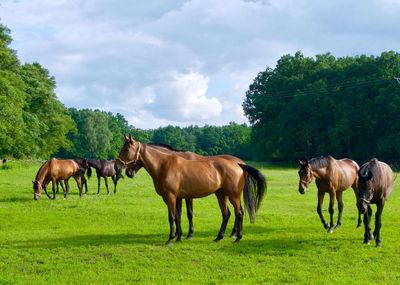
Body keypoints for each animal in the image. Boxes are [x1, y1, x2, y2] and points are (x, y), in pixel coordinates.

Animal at [115, 136, 266, 244]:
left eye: (126, 150)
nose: (121, 169)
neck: (164, 165)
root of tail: (239, 165)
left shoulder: (172, 196)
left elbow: (174, 217)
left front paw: (171, 239)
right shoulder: (174, 198)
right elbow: (177, 215)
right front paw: (179, 236)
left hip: (233, 196)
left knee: (239, 213)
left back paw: (237, 237)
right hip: (221, 195)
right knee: (227, 214)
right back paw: (219, 237)